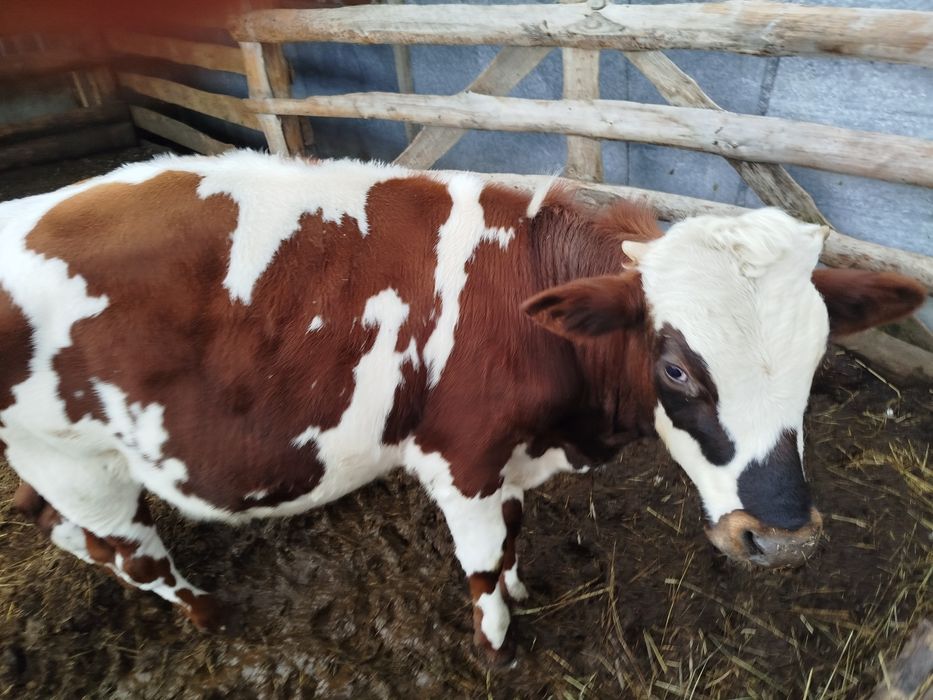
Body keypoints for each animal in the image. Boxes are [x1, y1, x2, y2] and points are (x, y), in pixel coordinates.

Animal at [0, 151, 925, 663]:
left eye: (815, 359)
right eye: (674, 367)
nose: (780, 539)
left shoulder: (509, 459)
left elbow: (514, 535)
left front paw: (521, 584)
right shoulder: (462, 457)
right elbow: (480, 560)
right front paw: (496, 642)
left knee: (56, 527)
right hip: (78, 460)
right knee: (129, 550)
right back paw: (210, 614)